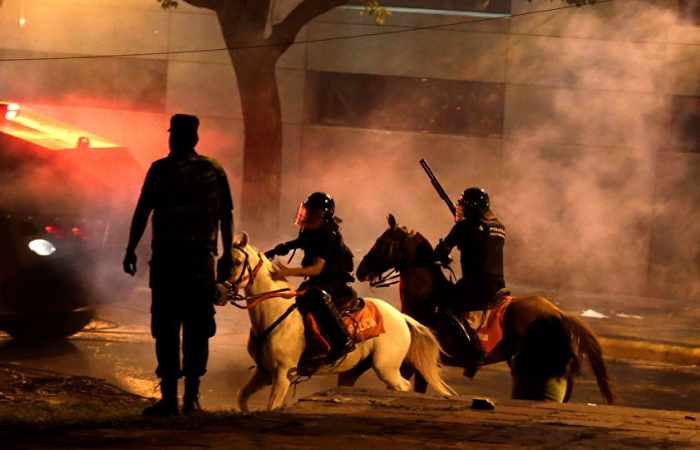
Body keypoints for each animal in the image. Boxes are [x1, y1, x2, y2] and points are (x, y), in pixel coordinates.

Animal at [221, 232, 456, 412]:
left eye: (238, 262)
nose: (220, 291)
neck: (275, 311)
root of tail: (400, 316)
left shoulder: (282, 374)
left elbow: (272, 406)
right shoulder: (264, 372)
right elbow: (242, 397)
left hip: (386, 367)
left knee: (403, 386)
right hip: (353, 371)